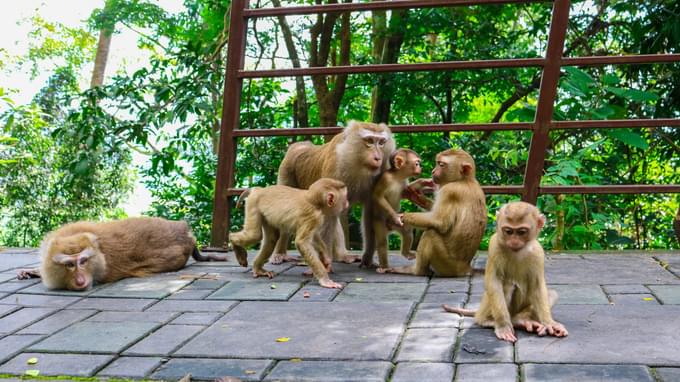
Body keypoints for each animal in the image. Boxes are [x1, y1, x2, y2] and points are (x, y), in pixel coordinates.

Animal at [274, 119, 396, 266]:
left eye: (382, 142)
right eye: (370, 141)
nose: (378, 157)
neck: (357, 162)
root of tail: (298, 147)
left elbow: (371, 212)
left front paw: (367, 258)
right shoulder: (335, 166)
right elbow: (327, 213)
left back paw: (342, 255)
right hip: (286, 172)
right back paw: (280, 253)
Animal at [380, 148, 486, 276]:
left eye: (441, 164)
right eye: (437, 163)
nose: (433, 171)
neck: (464, 180)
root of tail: (466, 268)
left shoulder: (449, 191)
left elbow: (439, 222)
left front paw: (401, 217)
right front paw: (418, 198)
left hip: (447, 265)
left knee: (431, 233)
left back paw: (416, 270)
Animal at [444, 201, 572, 342]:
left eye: (521, 232)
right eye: (508, 231)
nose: (514, 241)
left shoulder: (538, 252)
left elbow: (537, 286)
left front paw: (549, 323)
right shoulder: (494, 245)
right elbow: (494, 281)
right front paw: (503, 326)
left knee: (551, 294)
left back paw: (521, 320)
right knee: (506, 285)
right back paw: (489, 321)